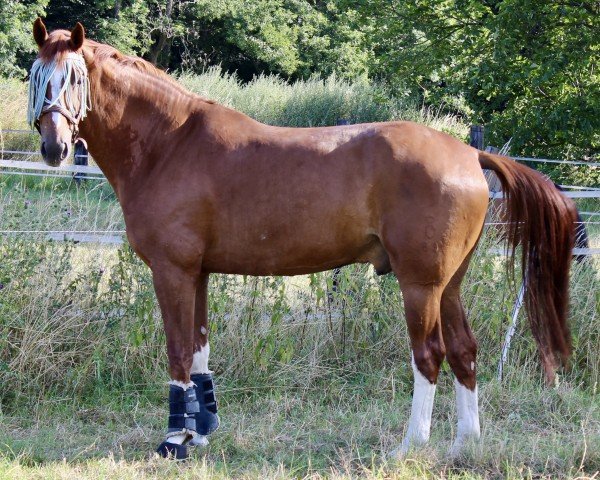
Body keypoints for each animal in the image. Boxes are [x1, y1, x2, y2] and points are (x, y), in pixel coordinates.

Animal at [29, 18, 580, 460]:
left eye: (73, 78)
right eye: (36, 77)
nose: (54, 147)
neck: (170, 144)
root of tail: (469, 154)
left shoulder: (172, 272)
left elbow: (179, 352)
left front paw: (173, 441)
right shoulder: (198, 273)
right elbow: (201, 350)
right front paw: (200, 432)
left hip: (420, 285)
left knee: (430, 355)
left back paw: (410, 445)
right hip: (449, 285)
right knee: (465, 350)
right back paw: (466, 443)